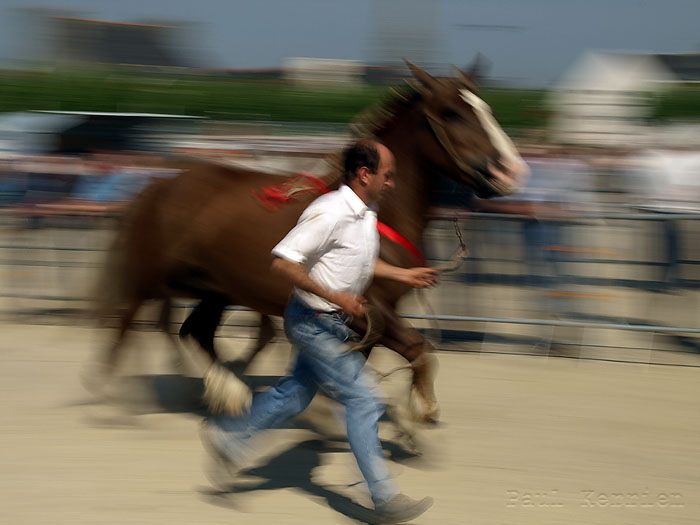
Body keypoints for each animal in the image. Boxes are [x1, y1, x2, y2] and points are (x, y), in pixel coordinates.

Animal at [95, 61, 528, 422]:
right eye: (453, 112)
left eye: (486, 108)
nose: (509, 170)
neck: (375, 215)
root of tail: (159, 183)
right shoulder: (370, 310)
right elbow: (419, 349)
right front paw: (418, 412)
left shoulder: (367, 321)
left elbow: (362, 363)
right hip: (154, 277)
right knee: (127, 327)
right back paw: (118, 398)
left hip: (215, 289)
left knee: (193, 332)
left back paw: (228, 394)